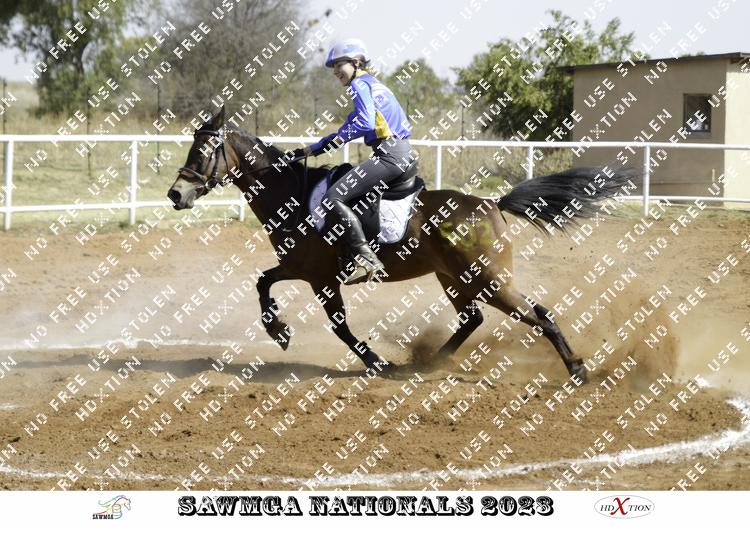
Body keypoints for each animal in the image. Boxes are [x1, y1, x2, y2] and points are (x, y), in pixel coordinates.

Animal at [167, 106, 636, 383]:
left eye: (204, 150)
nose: (175, 194)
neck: (293, 196)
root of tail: (491, 204)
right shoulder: (302, 269)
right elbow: (263, 281)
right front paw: (277, 329)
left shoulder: (320, 277)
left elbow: (338, 325)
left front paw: (376, 362)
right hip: (456, 279)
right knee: (475, 319)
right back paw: (426, 364)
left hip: (489, 279)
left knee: (538, 314)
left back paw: (576, 368)